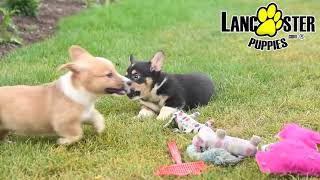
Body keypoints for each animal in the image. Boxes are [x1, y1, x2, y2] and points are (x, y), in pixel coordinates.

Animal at [0, 45, 131, 145]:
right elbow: (78, 133)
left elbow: (97, 116)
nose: (129, 82)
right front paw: (63, 142)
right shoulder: (64, 123)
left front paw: (99, 128)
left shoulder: (87, 113)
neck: (81, 91)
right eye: (109, 75)